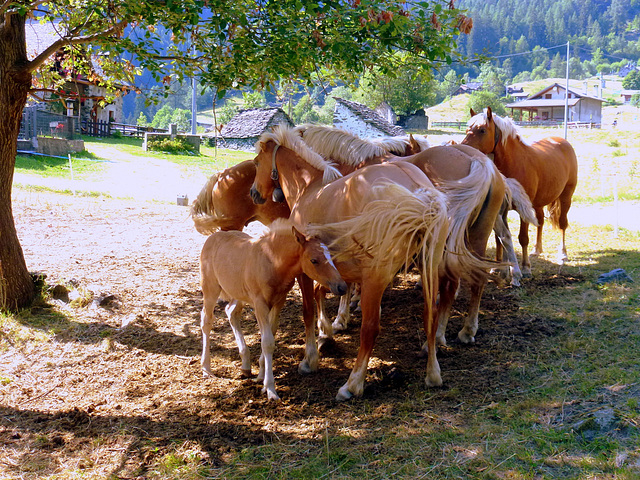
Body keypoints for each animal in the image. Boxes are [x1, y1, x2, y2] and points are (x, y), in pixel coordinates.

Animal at [201, 219, 348, 400]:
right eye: (314, 260)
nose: (341, 287)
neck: (271, 262)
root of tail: (212, 237)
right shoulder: (260, 304)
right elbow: (267, 342)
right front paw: (271, 389)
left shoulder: (278, 302)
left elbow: (271, 334)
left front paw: (261, 376)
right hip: (210, 289)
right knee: (206, 321)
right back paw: (206, 368)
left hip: (237, 292)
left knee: (231, 312)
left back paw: (245, 364)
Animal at [248, 124, 492, 402]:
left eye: (256, 162)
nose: (254, 193)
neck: (311, 185)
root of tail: (420, 193)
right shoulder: (335, 270)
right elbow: (329, 294)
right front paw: (329, 331)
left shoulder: (308, 271)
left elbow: (308, 311)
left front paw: (311, 358)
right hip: (430, 267)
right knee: (432, 312)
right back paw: (433, 373)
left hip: (377, 280)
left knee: (371, 329)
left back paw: (352, 384)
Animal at [462, 107, 576, 276]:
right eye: (467, 129)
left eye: (482, 130)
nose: (463, 148)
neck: (513, 163)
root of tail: (563, 142)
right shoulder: (500, 210)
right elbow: (499, 238)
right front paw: (498, 266)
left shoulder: (523, 210)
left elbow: (523, 238)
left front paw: (526, 267)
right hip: (538, 204)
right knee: (540, 222)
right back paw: (537, 249)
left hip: (565, 197)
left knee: (562, 224)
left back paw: (562, 254)